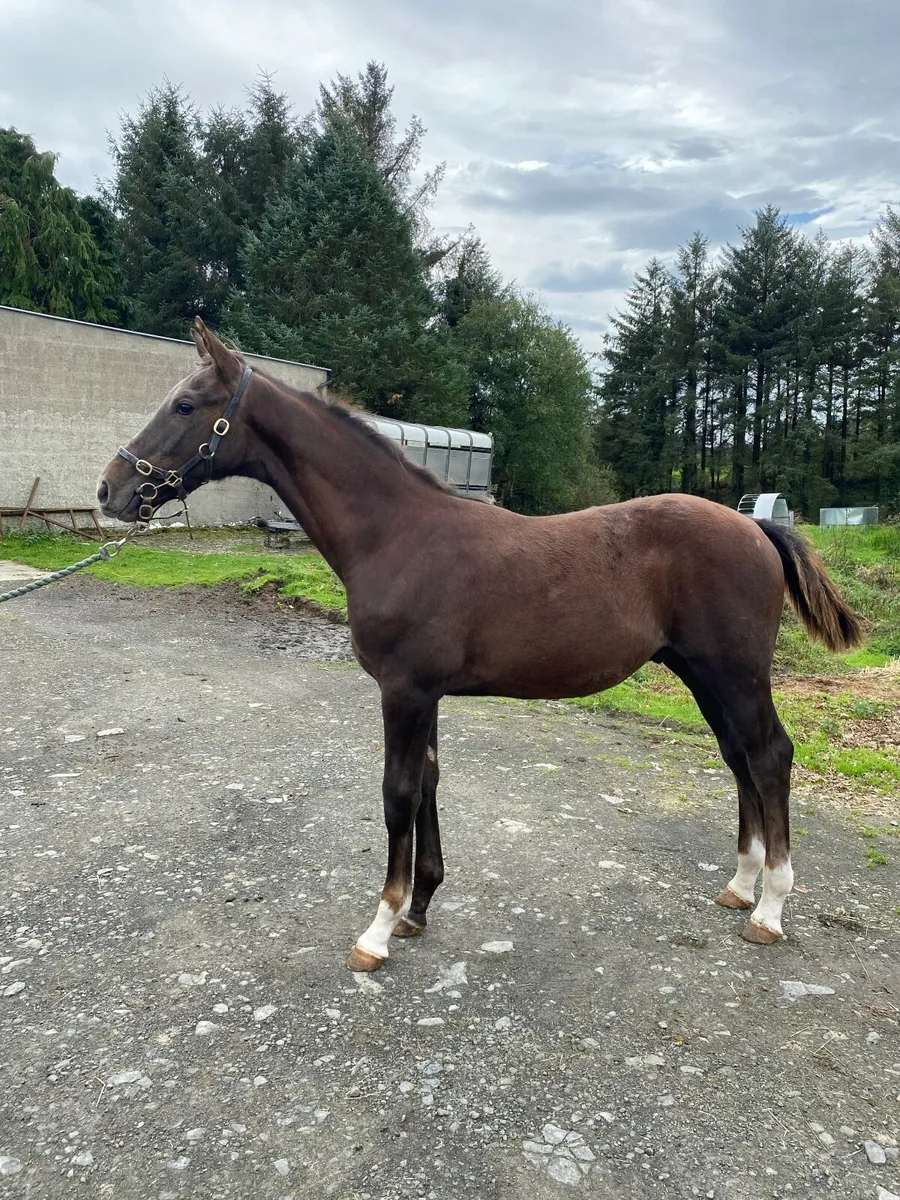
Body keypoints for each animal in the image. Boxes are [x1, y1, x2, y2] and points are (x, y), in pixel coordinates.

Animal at [97, 319, 862, 972]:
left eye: (187, 405)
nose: (110, 489)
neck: (397, 534)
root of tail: (755, 526)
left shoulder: (404, 692)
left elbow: (398, 794)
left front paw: (378, 929)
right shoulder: (425, 693)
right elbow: (429, 786)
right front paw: (418, 909)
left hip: (735, 672)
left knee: (770, 756)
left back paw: (769, 909)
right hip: (701, 674)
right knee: (740, 758)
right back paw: (740, 884)